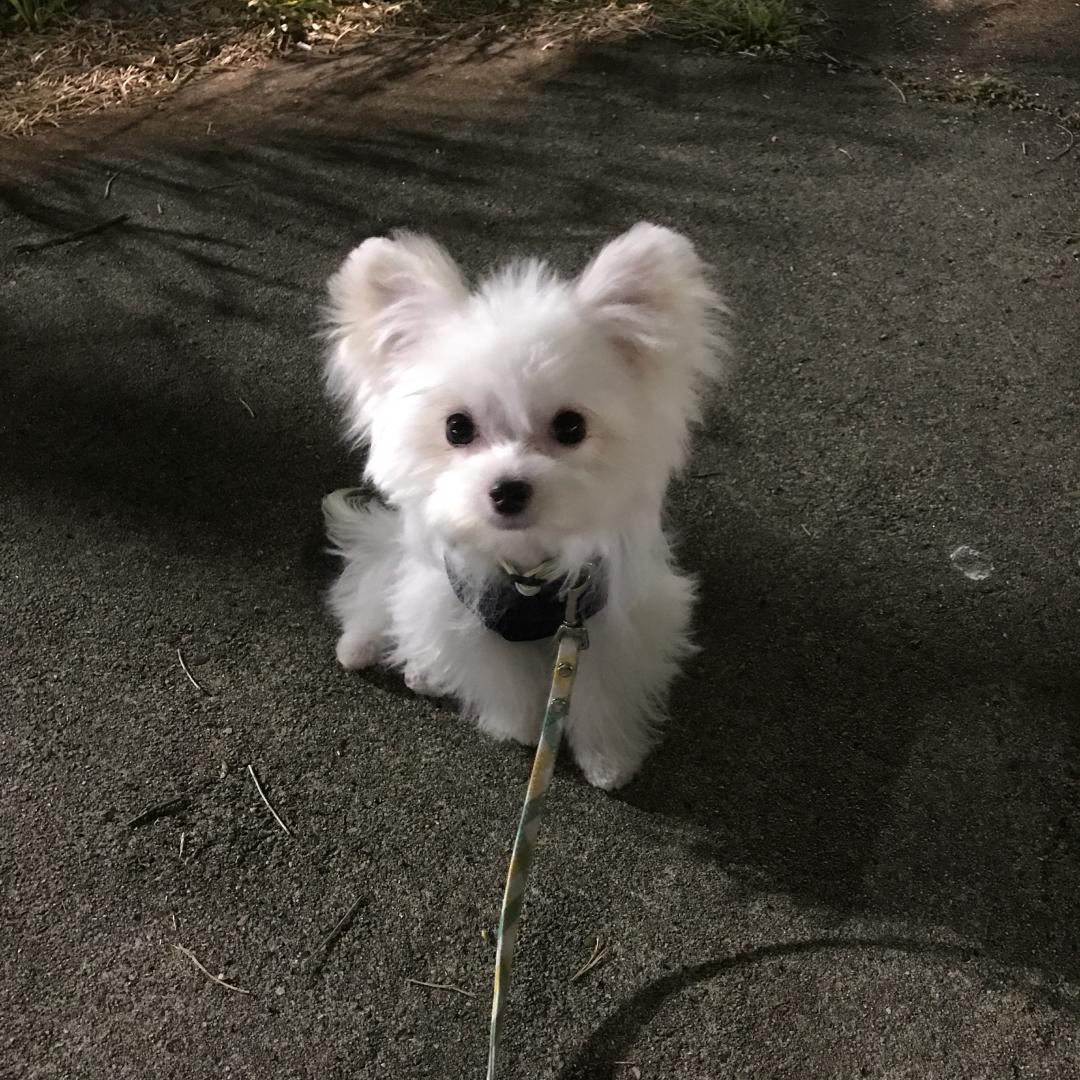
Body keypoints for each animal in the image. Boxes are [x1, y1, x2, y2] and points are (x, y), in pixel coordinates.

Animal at [319, 223, 725, 790]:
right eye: (457, 428)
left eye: (571, 426)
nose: (508, 489)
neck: (530, 568)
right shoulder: (475, 615)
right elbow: (503, 681)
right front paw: (523, 730)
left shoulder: (612, 620)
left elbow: (604, 693)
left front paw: (608, 760)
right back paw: (372, 650)